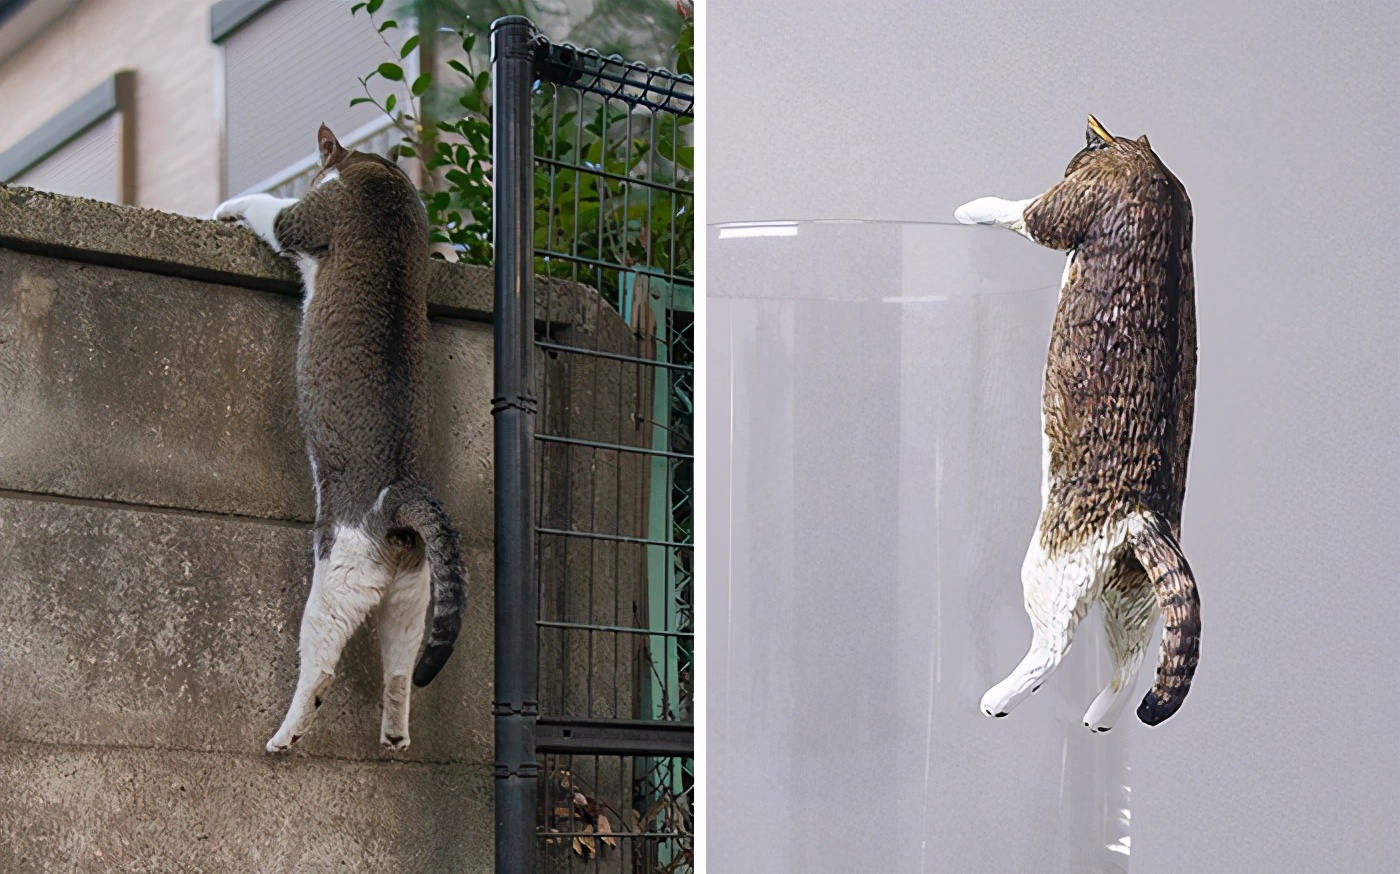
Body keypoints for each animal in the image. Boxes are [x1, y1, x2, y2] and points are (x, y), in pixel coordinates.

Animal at [212, 124, 464, 750]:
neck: (381, 174)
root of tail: (398, 497)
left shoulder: (300, 220)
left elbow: (264, 207)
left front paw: (224, 209)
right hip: (412, 598)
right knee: (400, 670)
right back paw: (394, 736)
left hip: (334, 582)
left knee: (321, 666)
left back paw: (285, 736)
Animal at [957, 116, 1198, 728]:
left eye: (1074, 160)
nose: (1070, 159)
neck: (1156, 178)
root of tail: (1143, 514)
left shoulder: (1067, 206)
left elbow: (1026, 214)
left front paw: (973, 207)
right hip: (1131, 590)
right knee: (1133, 656)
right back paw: (1104, 711)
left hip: (1054, 564)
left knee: (1054, 644)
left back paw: (1002, 696)